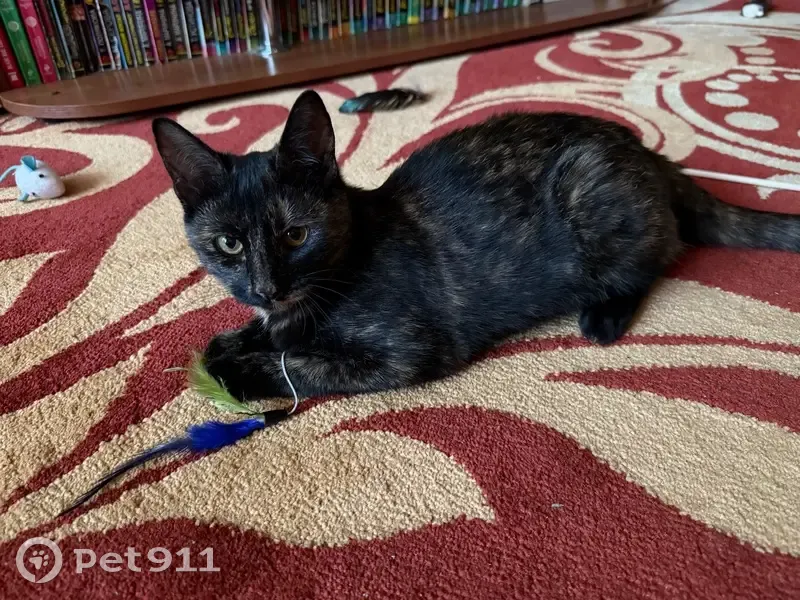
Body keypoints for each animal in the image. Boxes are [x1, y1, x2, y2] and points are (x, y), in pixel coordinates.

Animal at [153, 90, 800, 402]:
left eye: (295, 234)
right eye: (227, 244)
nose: (265, 286)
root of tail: (644, 149)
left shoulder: (408, 352)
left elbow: (306, 367)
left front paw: (238, 369)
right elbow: (270, 336)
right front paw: (234, 340)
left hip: (591, 192)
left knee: (656, 258)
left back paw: (604, 316)